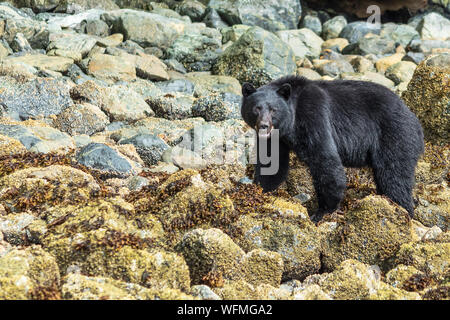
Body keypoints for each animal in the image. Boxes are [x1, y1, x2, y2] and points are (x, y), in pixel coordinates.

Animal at [241, 76, 424, 221]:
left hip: (394, 135)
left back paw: (401, 208)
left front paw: (321, 212)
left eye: (274, 109)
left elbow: (325, 160)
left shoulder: (313, 117)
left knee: (394, 175)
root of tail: (415, 120)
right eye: (256, 108)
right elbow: (272, 164)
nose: (264, 126)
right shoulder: (277, 139)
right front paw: (259, 191)